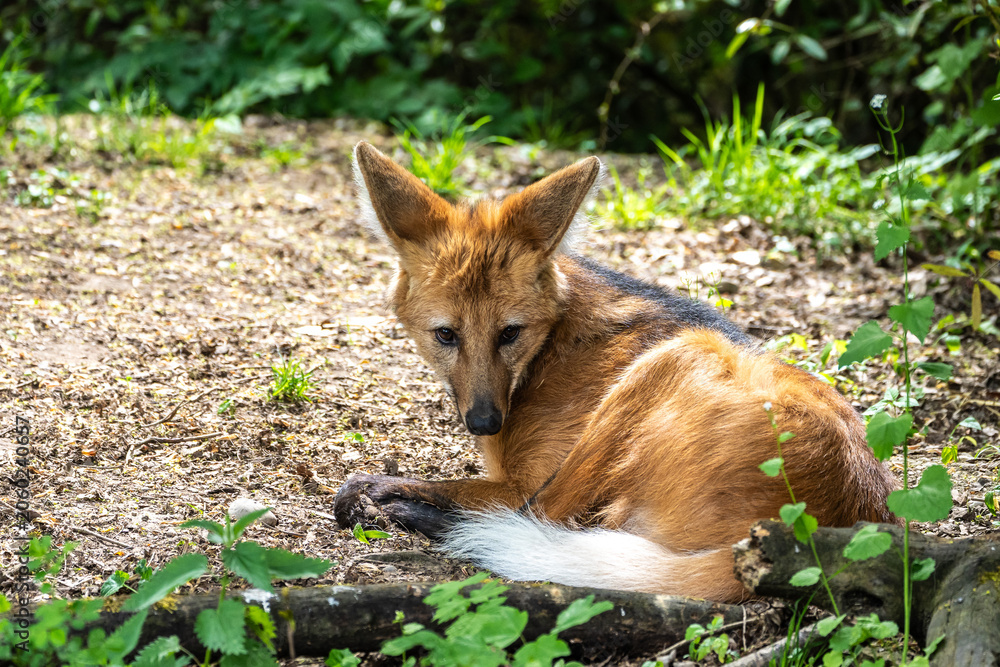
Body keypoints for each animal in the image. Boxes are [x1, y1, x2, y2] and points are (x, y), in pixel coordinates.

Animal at [334, 141, 898, 602]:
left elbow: (487, 494)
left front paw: (375, 490)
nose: (486, 423)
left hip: (675, 358)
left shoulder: (522, 478)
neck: (548, 351)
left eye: (509, 333)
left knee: (538, 514)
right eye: (447, 335)